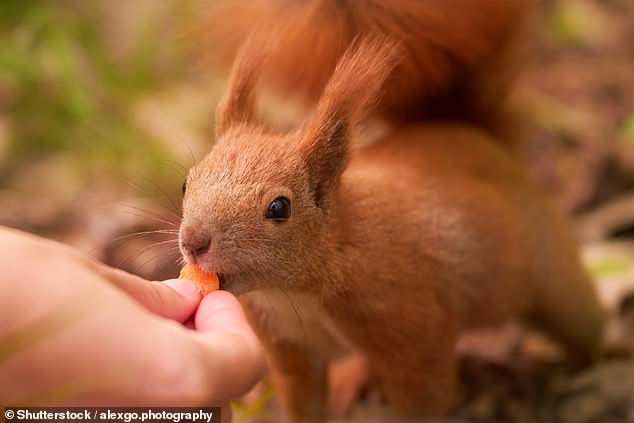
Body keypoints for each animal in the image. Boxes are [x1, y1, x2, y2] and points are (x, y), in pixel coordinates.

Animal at [179, 2, 604, 420]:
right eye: (186, 183)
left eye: (279, 208)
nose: (193, 242)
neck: (297, 289)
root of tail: (473, 137)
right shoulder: (289, 348)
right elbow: (304, 401)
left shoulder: (412, 328)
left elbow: (423, 396)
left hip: (552, 269)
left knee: (580, 320)